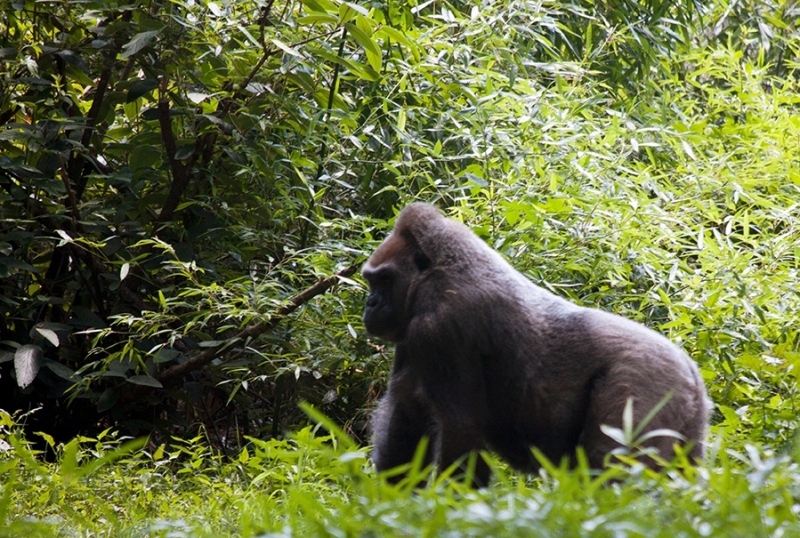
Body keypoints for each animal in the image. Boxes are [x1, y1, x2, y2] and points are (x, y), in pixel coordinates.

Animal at [362, 202, 711, 487]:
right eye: (371, 280)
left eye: (383, 280)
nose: (371, 304)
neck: (436, 270)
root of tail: (692, 373)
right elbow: (406, 416)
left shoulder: (438, 326)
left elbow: (459, 429)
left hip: (646, 381)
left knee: (610, 468)